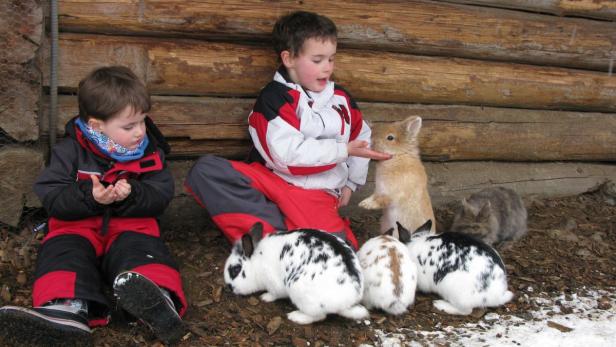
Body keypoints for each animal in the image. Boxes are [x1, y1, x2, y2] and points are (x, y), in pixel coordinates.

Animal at [226, 224, 370, 324]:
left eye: (236, 270)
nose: (229, 287)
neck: (257, 261)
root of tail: (347, 302)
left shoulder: (274, 284)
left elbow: (274, 294)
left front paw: (265, 297)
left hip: (301, 294)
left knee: (318, 316)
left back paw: (295, 316)